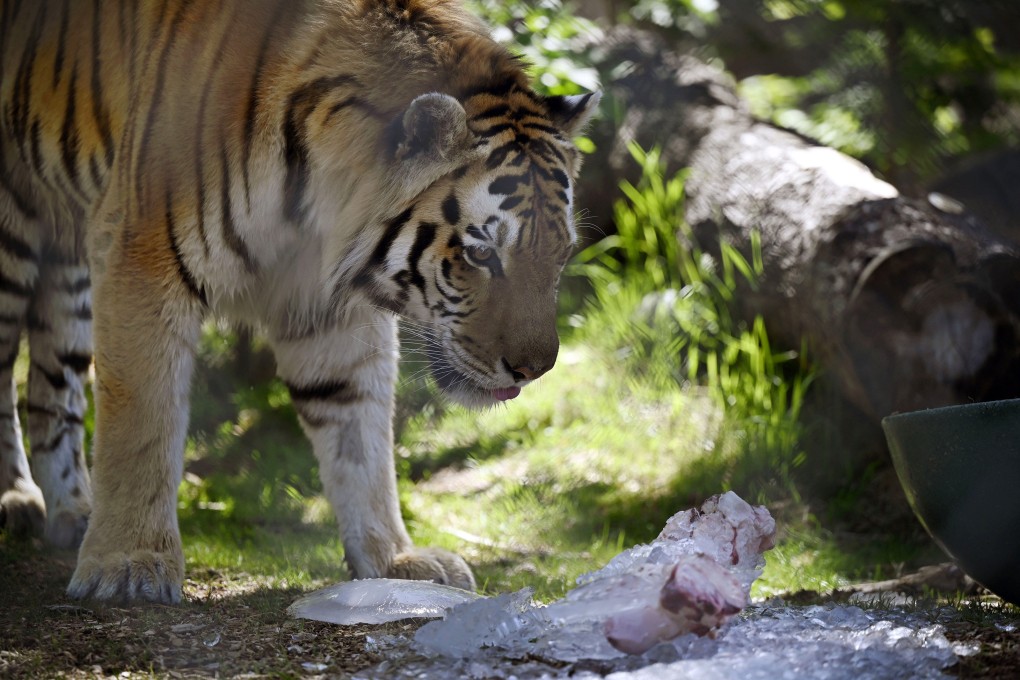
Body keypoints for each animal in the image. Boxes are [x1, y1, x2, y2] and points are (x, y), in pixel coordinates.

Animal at [0, 0, 599, 603]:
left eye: (561, 254)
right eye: (481, 253)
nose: (535, 368)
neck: (312, 197)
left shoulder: (323, 301)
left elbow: (358, 430)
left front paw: (393, 559)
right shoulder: (141, 254)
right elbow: (142, 421)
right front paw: (128, 564)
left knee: (51, 386)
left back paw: (72, 512)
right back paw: (18, 502)